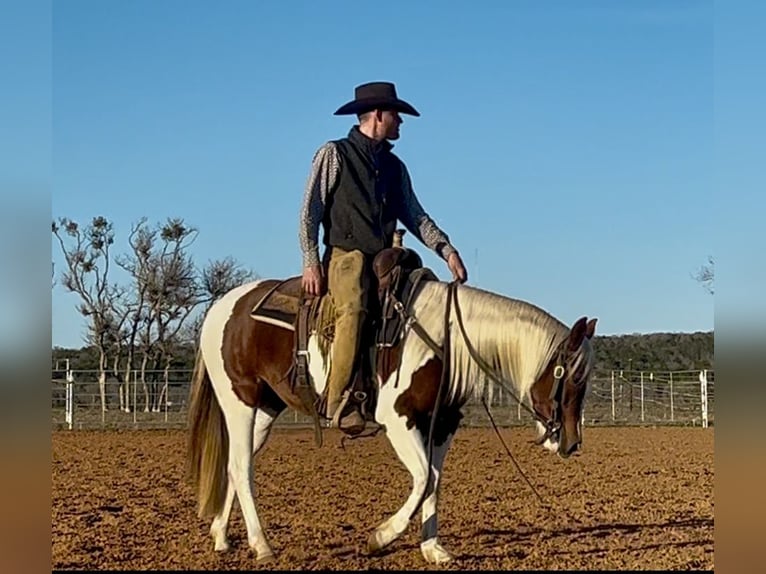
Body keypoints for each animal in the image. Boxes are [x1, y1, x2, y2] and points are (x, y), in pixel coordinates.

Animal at [188, 253, 600, 568]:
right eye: (572, 378)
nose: (572, 443)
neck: (443, 337)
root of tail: (221, 308)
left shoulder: (441, 424)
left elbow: (434, 481)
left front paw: (433, 549)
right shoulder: (398, 420)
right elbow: (422, 478)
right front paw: (380, 537)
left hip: (265, 409)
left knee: (232, 463)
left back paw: (222, 536)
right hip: (239, 401)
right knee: (242, 467)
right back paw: (262, 545)